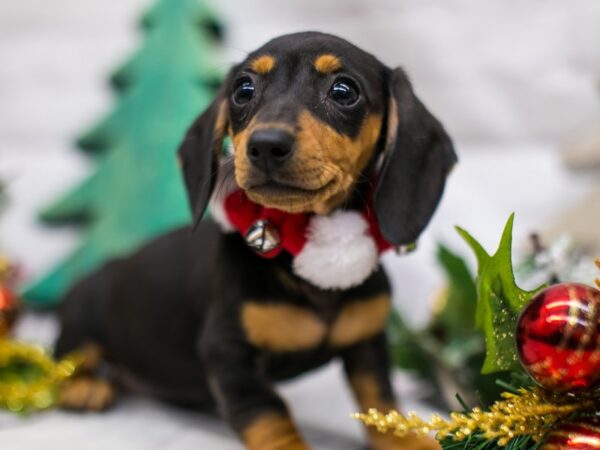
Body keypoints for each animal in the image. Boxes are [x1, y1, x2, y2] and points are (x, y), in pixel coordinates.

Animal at [57, 32, 454, 450]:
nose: (266, 144)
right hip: (82, 322)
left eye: (344, 91)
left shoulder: (368, 342)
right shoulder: (229, 353)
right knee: (70, 354)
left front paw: (409, 441)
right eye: (243, 90)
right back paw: (84, 387)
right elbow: (269, 415)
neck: (306, 258)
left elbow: (380, 402)